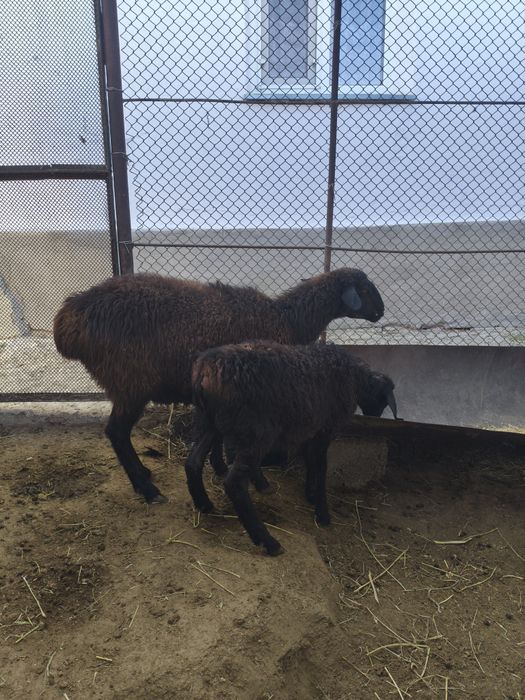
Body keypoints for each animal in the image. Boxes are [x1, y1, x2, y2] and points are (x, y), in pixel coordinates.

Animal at [53, 269, 385, 504]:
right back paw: (147, 490)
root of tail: (68, 320)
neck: (288, 319)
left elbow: (218, 440)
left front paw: (219, 467)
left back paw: (144, 475)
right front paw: (255, 480)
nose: (381, 312)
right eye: (365, 290)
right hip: (130, 383)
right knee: (117, 433)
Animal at [185, 340, 397, 555]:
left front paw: (310, 494)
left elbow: (311, 463)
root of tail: (205, 370)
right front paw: (322, 513)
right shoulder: (325, 429)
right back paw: (268, 542)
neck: (353, 378)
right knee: (234, 483)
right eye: (383, 399)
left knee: (193, 462)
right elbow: (322, 468)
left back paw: (204, 505)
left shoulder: (311, 430)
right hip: (255, 431)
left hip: (209, 420)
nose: (375, 416)